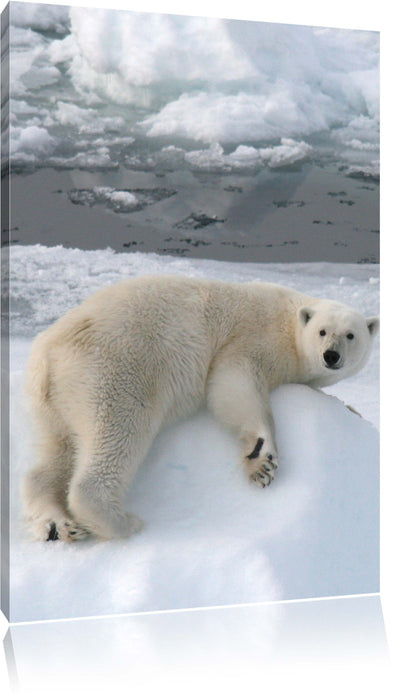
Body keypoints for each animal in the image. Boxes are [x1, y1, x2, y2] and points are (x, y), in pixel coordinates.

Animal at [21, 274, 378, 540]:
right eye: (322, 331)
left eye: (350, 335)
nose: (331, 355)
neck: (289, 320)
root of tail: (47, 351)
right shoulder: (253, 336)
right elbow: (233, 381)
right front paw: (262, 461)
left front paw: (353, 409)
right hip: (114, 370)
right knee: (117, 433)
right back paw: (121, 521)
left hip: (55, 399)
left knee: (57, 452)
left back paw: (57, 525)